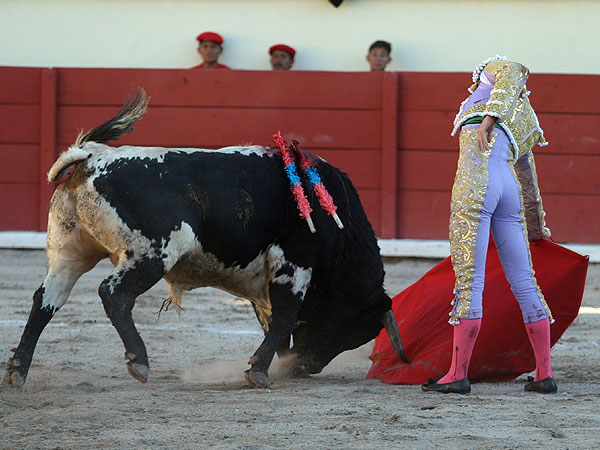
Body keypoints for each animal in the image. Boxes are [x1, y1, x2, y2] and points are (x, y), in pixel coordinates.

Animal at [3, 89, 408, 388]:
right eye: (351, 328)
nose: (306, 367)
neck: (339, 223)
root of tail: (93, 156)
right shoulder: (294, 266)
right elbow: (284, 316)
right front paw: (260, 371)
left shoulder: (265, 277)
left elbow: (272, 319)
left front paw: (273, 364)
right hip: (151, 253)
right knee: (112, 293)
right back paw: (139, 361)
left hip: (69, 253)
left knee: (46, 300)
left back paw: (18, 370)